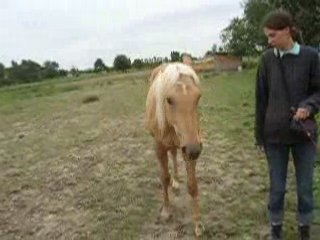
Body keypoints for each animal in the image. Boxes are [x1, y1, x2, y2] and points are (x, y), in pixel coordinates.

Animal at [144, 57, 204, 236]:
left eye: (198, 97)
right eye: (169, 99)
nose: (194, 150)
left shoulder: (189, 145)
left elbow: (192, 185)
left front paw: (198, 224)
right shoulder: (159, 148)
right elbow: (164, 178)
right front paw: (166, 211)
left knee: (175, 155)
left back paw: (176, 181)